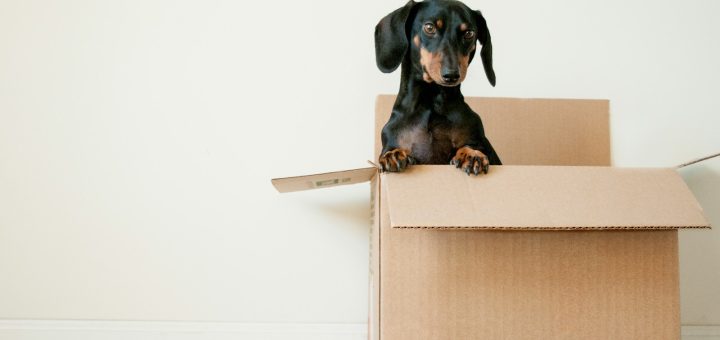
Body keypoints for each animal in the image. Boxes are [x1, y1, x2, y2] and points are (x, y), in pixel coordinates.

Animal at [376, 0, 500, 175]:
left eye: (469, 33)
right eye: (429, 27)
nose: (451, 75)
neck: (431, 102)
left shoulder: (480, 141)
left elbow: (470, 145)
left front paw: (471, 154)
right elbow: (392, 150)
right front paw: (393, 154)